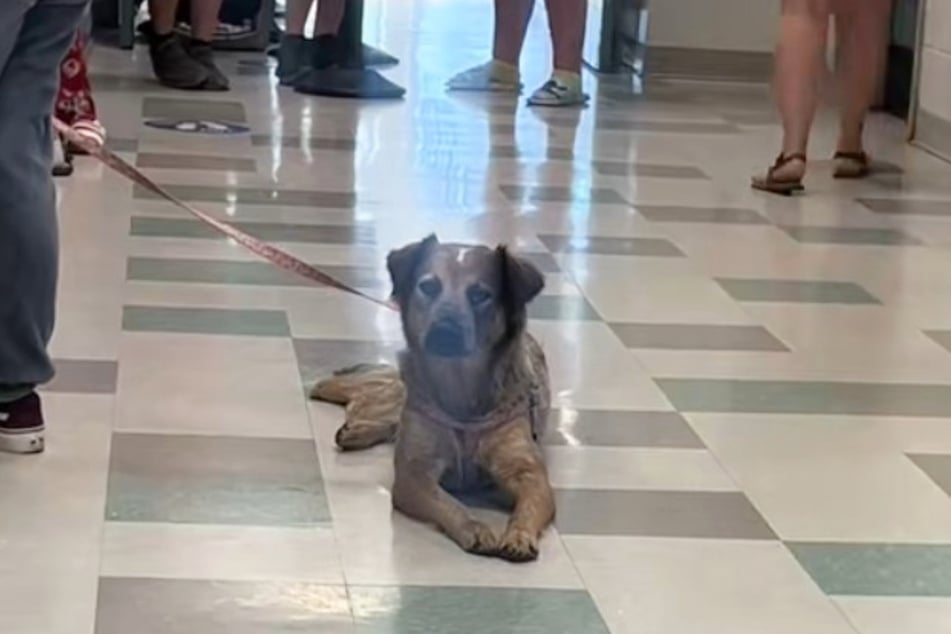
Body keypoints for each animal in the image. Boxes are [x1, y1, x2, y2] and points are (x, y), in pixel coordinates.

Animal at [312, 235, 556, 560]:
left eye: (480, 294)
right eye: (428, 286)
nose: (445, 331)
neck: (461, 389)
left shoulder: (529, 472)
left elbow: (528, 505)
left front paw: (519, 535)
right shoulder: (413, 474)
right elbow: (449, 504)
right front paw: (474, 527)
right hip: (401, 394)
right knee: (367, 394)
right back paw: (338, 402)